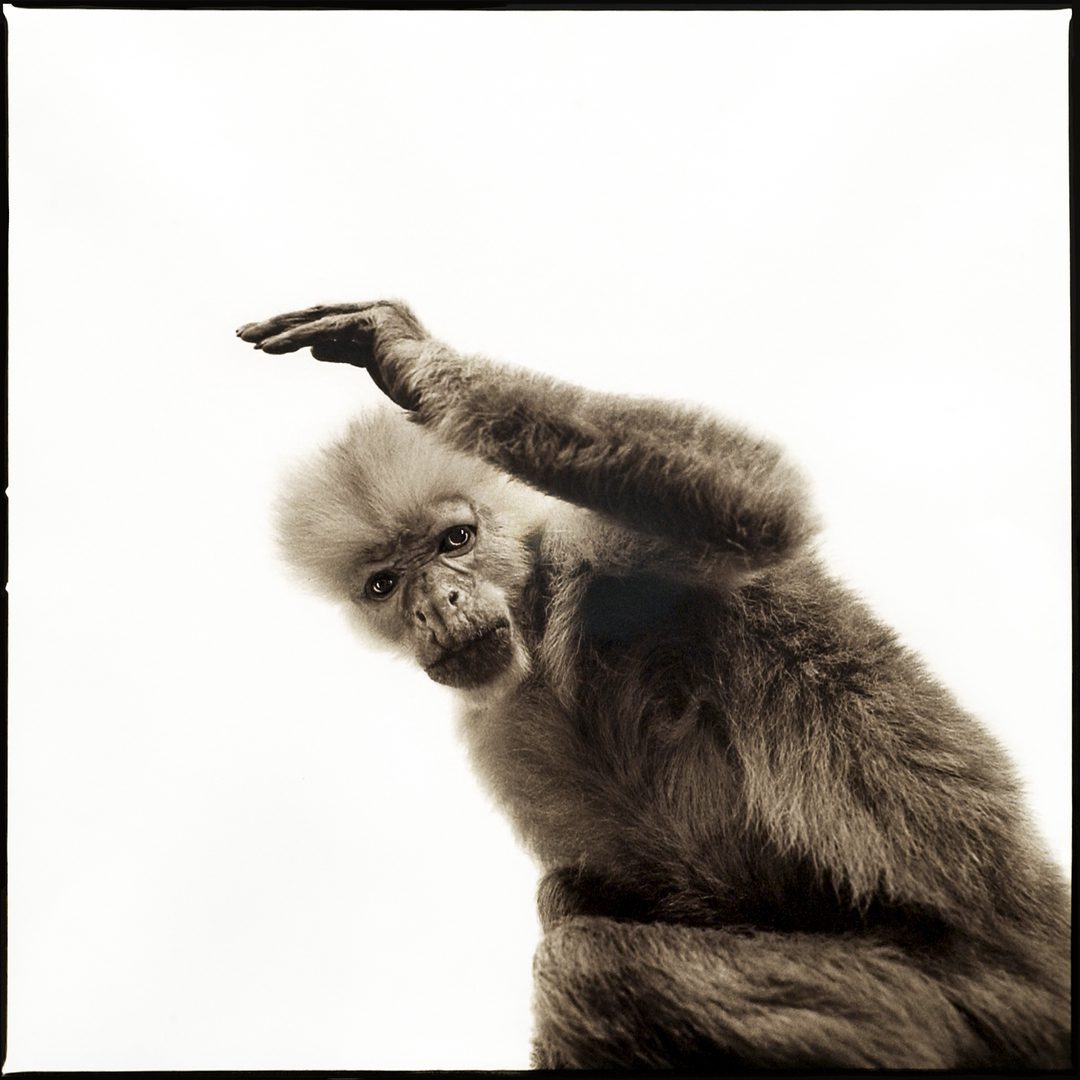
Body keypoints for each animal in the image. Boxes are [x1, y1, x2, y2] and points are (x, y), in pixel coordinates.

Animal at [237, 300, 1070, 1070]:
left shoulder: (598, 556)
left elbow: (758, 499)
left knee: (585, 963)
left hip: (956, 1009)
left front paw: (407, 357)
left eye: (457, 541)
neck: (540, 630)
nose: (438, 604)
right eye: (385, 584)